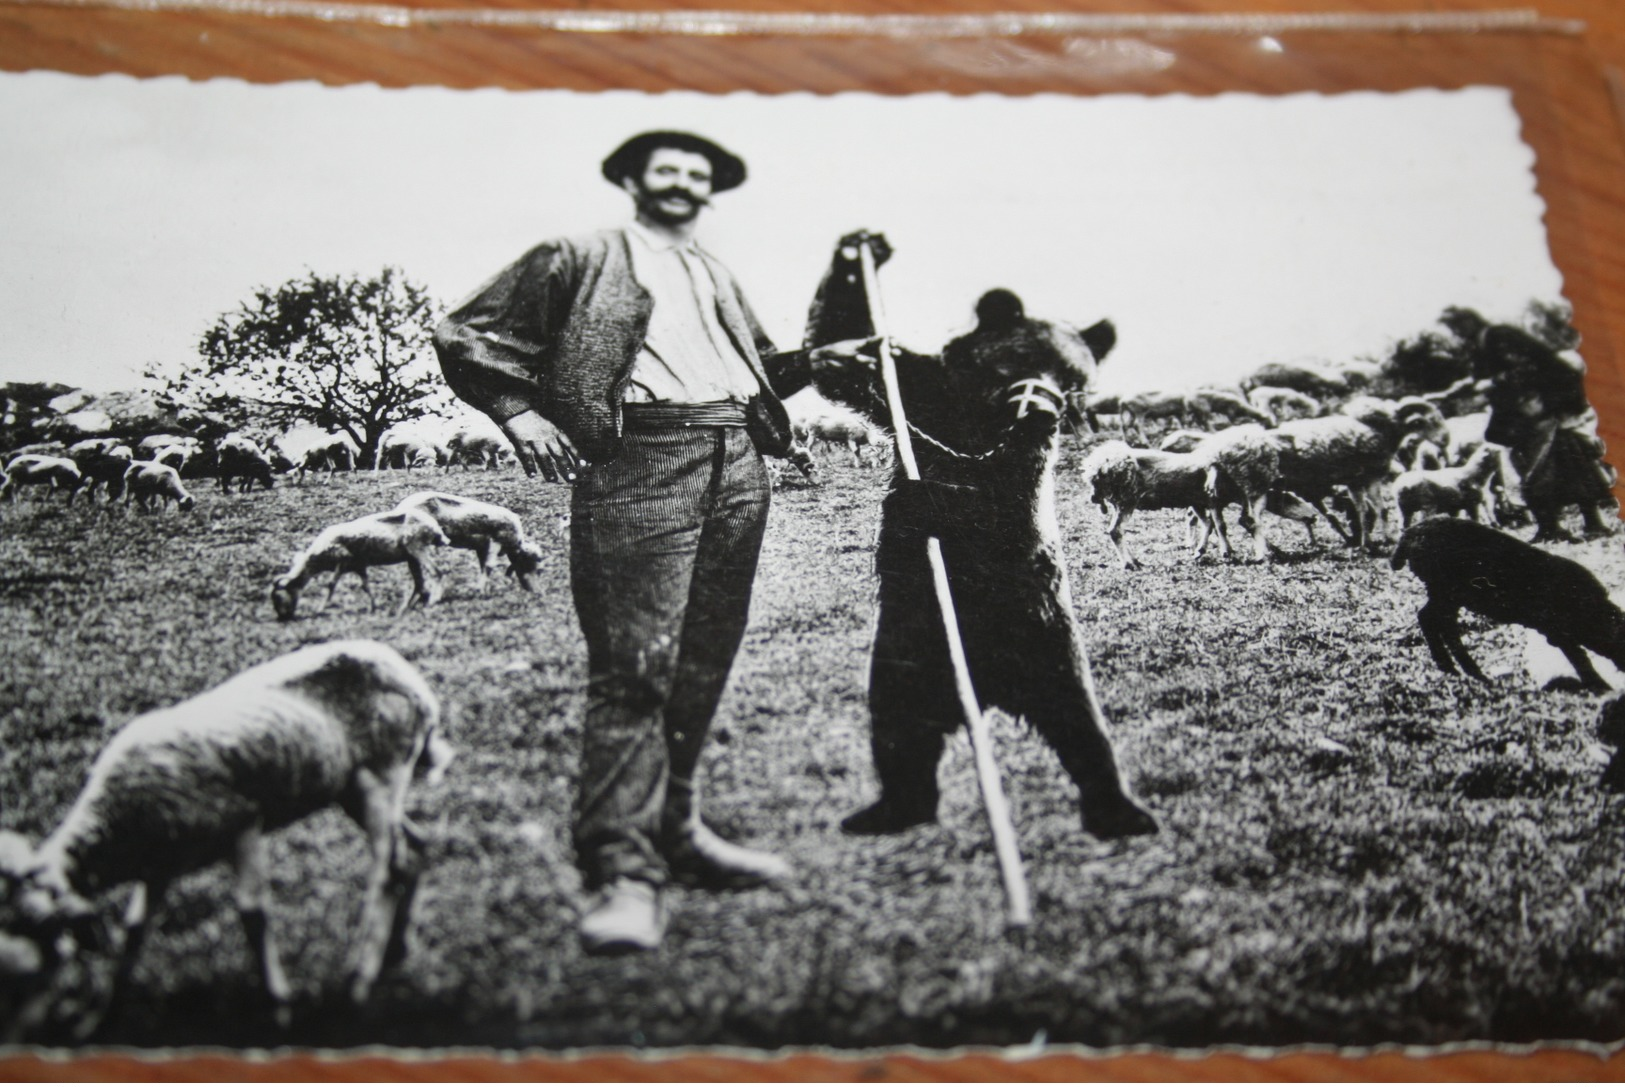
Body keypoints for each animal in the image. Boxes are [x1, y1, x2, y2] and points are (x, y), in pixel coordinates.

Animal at [0, 640, 451, 1039]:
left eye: (42, 956)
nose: (23, 1031)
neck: (116, 821)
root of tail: (415, 684)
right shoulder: (160, 865)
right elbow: (133, 932)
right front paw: (101, 1018)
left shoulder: (244, 824)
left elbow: (253, 916)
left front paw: (277, 1008)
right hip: (350, 788)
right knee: (415, 846)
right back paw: (397, 948)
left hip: (384, 773)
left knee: (389, 870)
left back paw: (360, 978)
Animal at [269, 510, 451, 617]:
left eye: (278, 595)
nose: (283, 617)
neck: (317, 557)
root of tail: (436, 527)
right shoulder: (359, 565)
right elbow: (365, 585)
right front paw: (373, 608)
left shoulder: (343, 560)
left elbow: (331, 585)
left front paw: (319, 609)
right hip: (411, 556)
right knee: (419, 584)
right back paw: (405, 608)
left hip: (417, 548)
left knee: (435, 572)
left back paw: (433, 601)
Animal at [394, 490, 549, 594]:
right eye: (531, 565)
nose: (538, 592)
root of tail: (400, 506)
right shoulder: (495, 542)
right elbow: (489, 566)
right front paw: (480, 591)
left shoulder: (482, 548)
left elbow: (483, 566)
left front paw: (484, 589)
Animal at [770, 230, 1163, 838]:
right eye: (1025, 359)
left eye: (1076, 378)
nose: (1045, 405)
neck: (979, 416)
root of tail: (989, 690)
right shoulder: (926, 401)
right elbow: (848, 348)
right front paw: (861, 252)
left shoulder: (1016, 475)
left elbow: (992, 502)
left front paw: (926, 499)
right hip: (909, 649)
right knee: (898, 728)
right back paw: (887, 810)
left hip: (1046, 638)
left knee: (1082, 726)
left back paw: (1122, 812)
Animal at [1391, 516, 1625, 685]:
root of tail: (1408, 535)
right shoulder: (1557, 629)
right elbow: (1579, 657)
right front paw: (1602, 688)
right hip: (1445, 590)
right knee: (1434, 620)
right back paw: (1467, 673)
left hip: (1444, 594)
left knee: (1435, 620)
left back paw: (1462, 672)